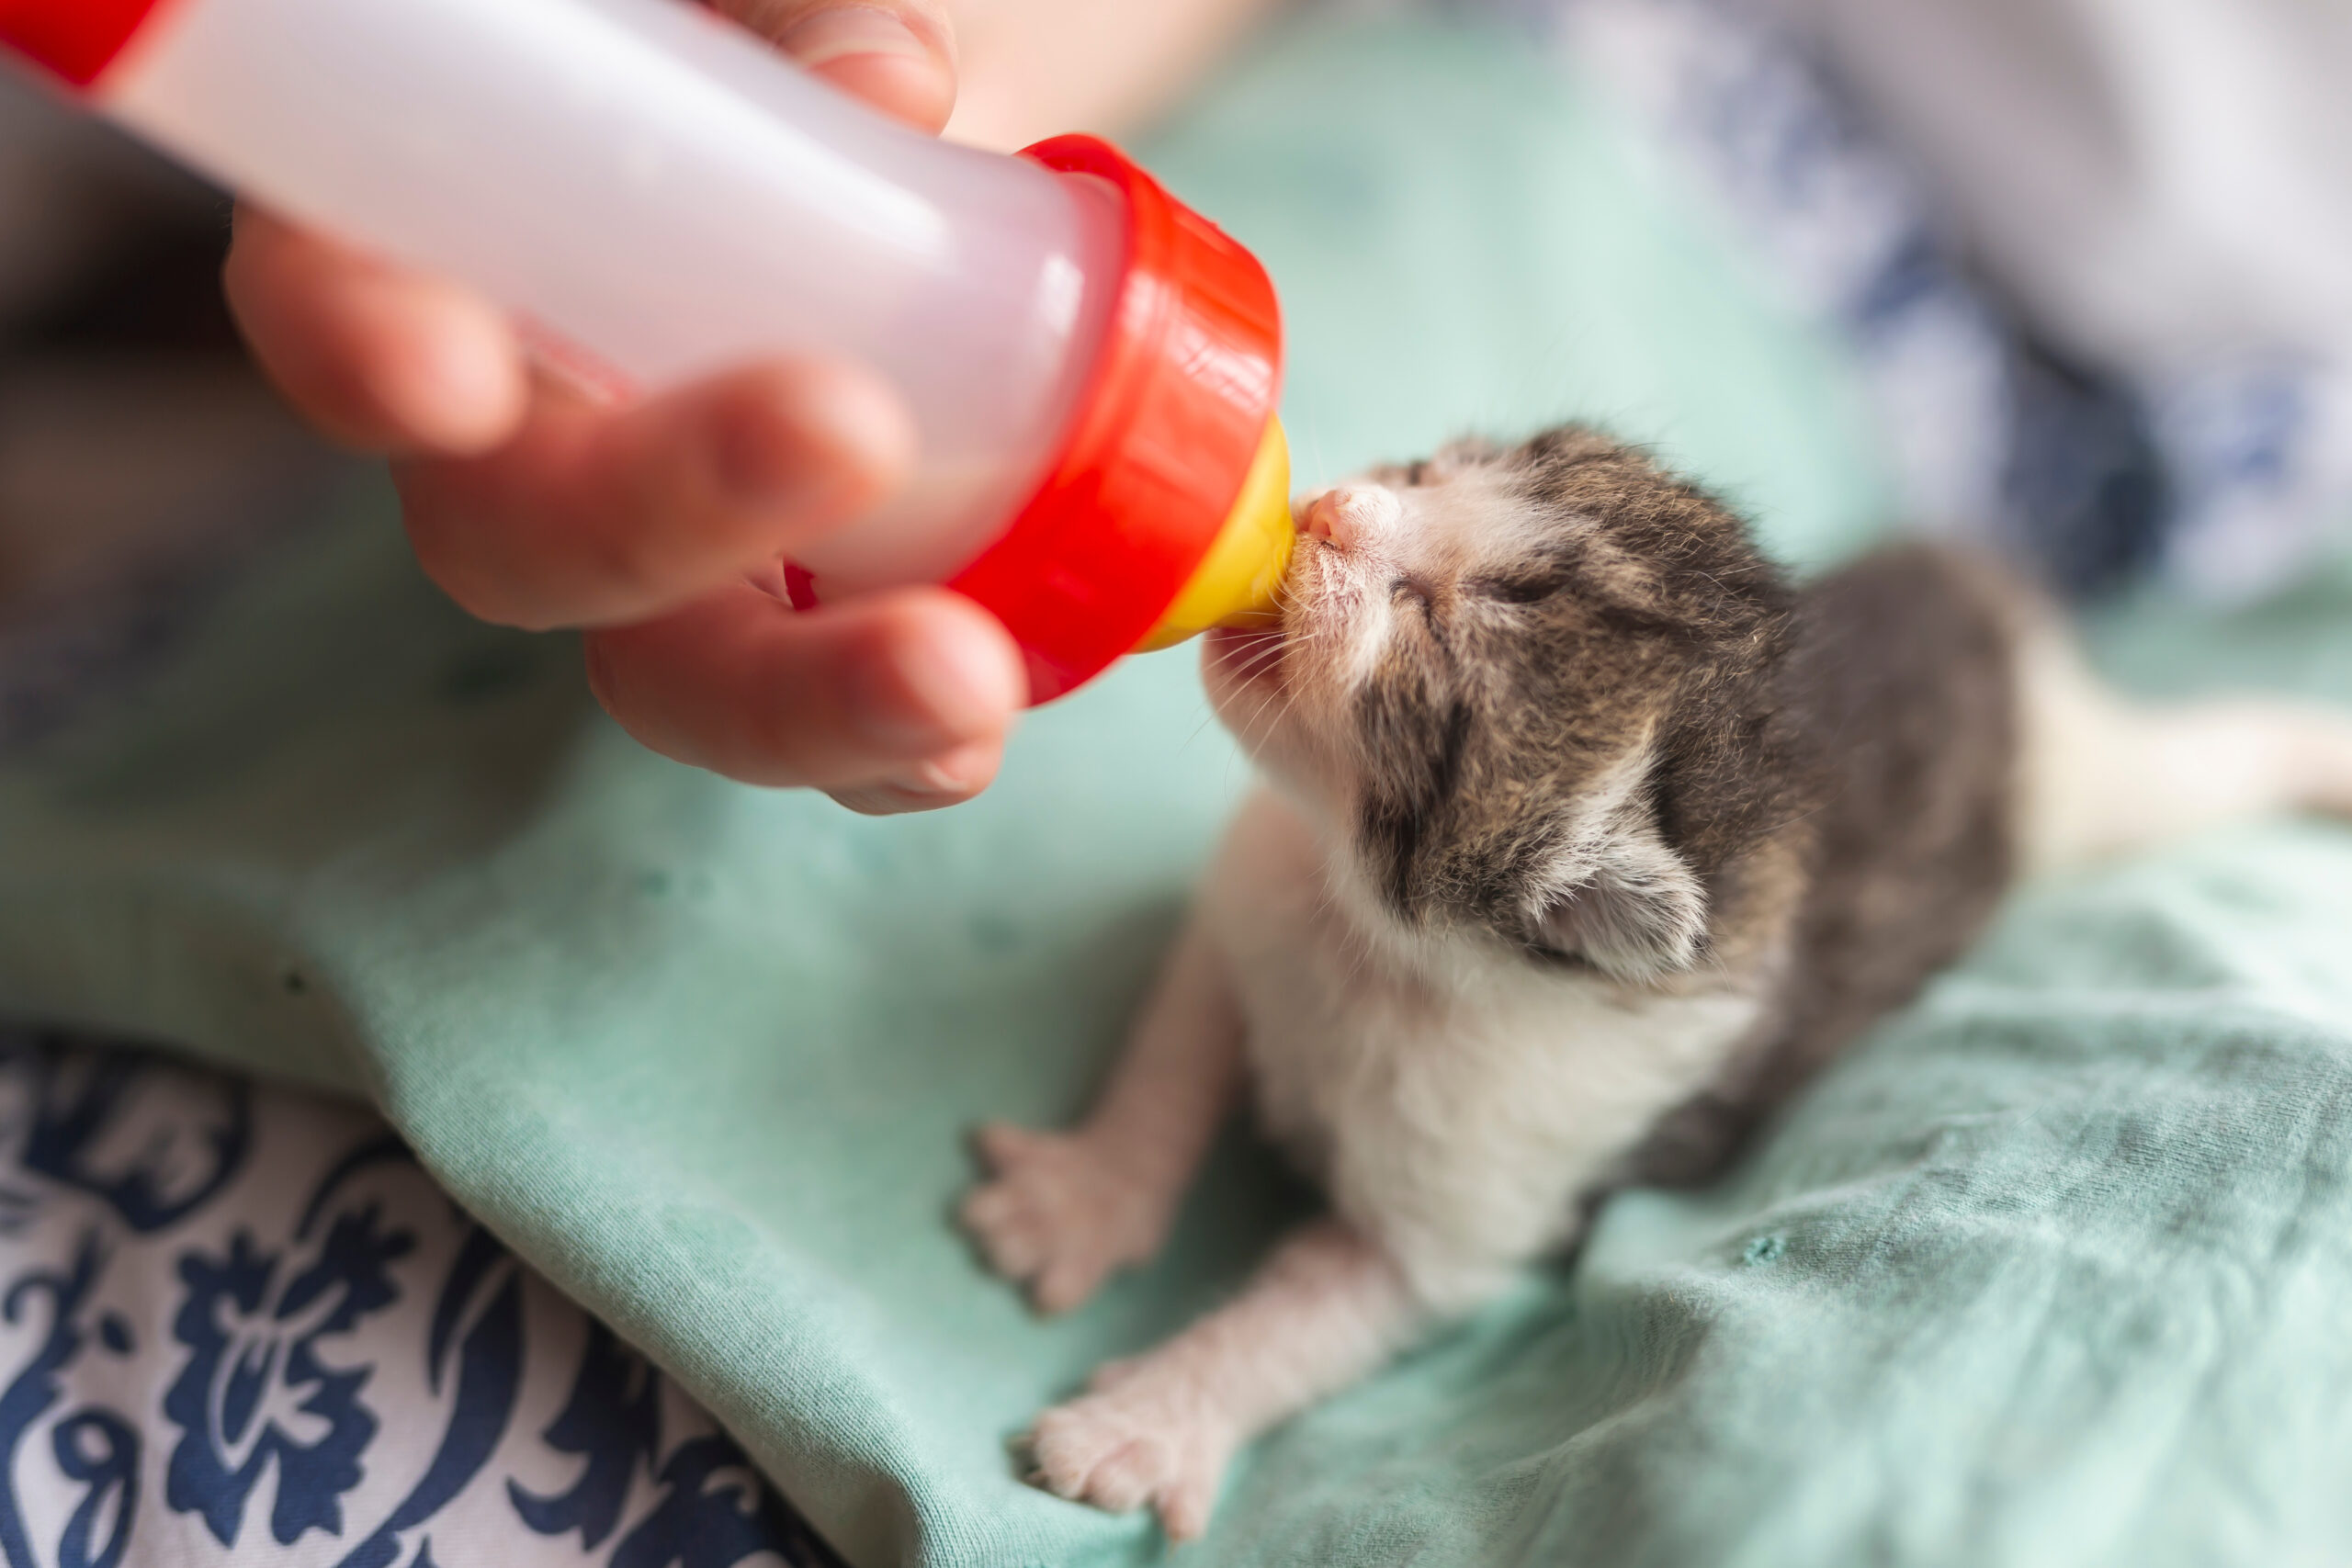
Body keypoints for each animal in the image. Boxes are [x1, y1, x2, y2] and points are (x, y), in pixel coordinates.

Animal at [950, 423, 2352, 1541]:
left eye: (1426, 631)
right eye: (1423, 474)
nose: (1333, 506)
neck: (1371, 941)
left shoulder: (1462, 1209)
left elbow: (1302, 1320)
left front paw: (1146, 1423)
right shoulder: (1246, 908)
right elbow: (1175, 1056)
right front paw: (1083, 1202)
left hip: (2082, 790)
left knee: (2195, 764)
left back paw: (2314, 753)